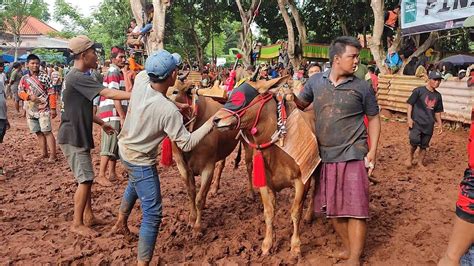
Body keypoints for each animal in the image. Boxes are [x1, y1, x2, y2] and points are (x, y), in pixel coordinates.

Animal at [212, 76, 318, 256]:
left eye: (241, 98)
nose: (215, 120)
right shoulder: (265, 183)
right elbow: (268, 212)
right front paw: (268, 243)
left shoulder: (302, 181)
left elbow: (296, 211)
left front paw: (295, 245)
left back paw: (309, 216)